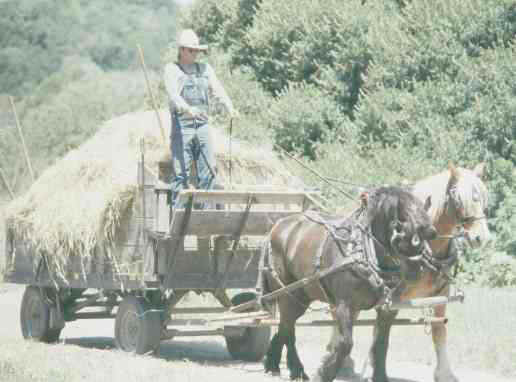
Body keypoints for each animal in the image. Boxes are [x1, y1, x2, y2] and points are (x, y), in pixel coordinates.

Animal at [260, 187, 438, 382]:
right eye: (399, 230)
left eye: (429, 235)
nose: (416, 271)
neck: (363, 250)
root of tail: (277, 226)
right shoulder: (344, 305)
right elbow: (345, 343)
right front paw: (324, 373)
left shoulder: (388, 309)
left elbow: (381, 344)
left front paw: (380, 376)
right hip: (286, 292)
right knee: (287, 325)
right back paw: (291, 367)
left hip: (301, 296)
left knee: (286, 325)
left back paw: (280, 364)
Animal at [330, 163, 492, 380]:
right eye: (458, 198)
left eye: (483, 197)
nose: (480, 237)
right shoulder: (390, 297)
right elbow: (379, 331)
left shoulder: (440, 294)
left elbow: (439, 330)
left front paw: (445, 373)